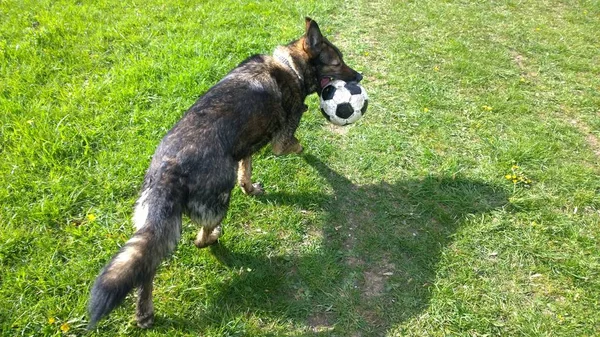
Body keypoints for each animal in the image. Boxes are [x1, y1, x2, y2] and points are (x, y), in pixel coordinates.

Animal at [87, 16, 364, 328]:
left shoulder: (245, 149)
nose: (360, 76)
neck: (290, 66)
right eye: (337, 62)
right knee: (199, 240)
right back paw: (213, 236)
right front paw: (304, 151)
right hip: (217, 201)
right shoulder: (280, 141)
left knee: (147, 263)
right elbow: (293, 145)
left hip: (156, 225)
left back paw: (144, 312)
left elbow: (247, 170)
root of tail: (169, 170)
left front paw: (251, 188)